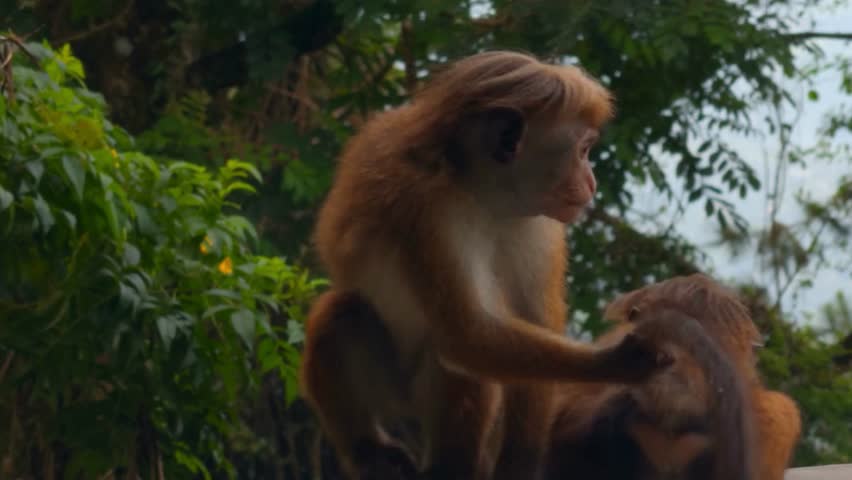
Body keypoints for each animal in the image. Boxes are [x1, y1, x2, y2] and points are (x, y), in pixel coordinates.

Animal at [299, 50, 670, 480]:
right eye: (583, 151)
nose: (592, 183)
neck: (479, 190)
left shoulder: (540, 224)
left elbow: (532, 323)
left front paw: (521, 463)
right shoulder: (426, 211)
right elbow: (466, 334)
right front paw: (614, 362)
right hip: (391, 391)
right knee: (349, 315)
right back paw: (373, 452)